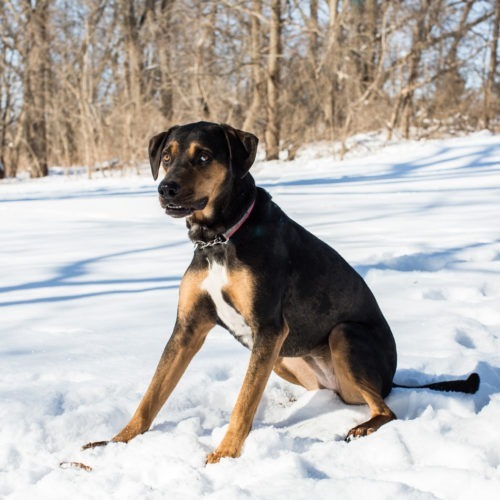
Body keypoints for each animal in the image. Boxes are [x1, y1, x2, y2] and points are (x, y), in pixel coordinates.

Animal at [83, 122, 480, 464]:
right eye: (167, 156)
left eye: (204, 157)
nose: (165, 188)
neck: (219, 238)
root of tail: (390, 377)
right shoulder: (188, 329)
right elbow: (152, 395)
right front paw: (114, 443)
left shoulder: (268, 327)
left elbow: (242, 404)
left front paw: (224, 455)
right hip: (282, 358)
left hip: (342, 336)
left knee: (386, 408)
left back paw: (363, 426)